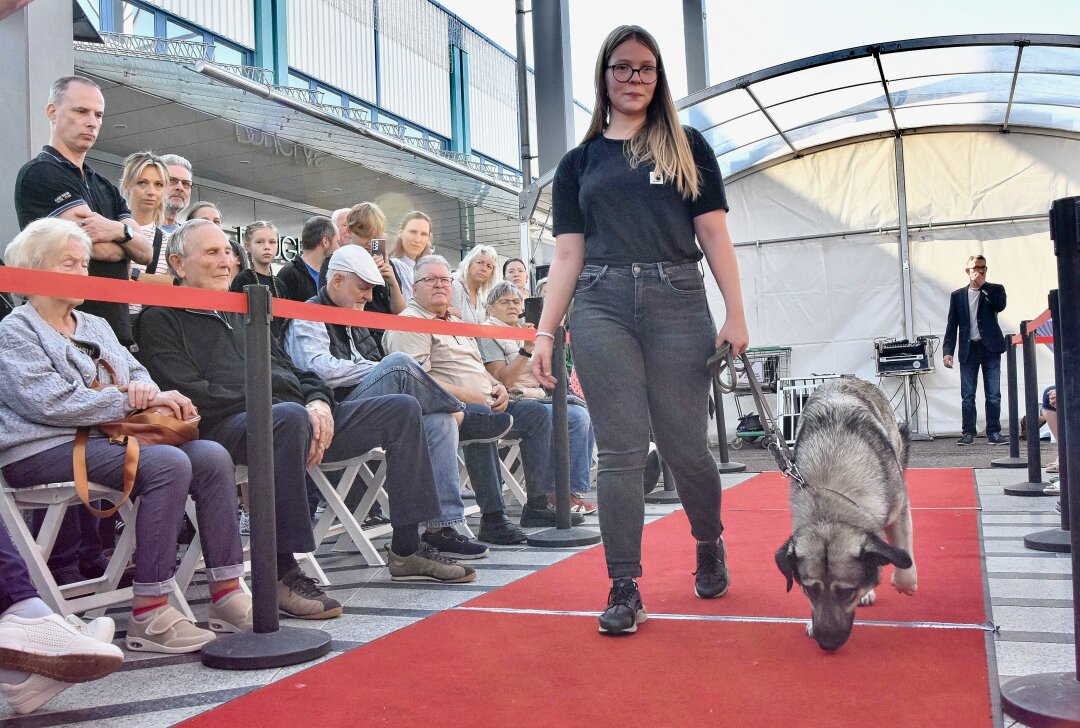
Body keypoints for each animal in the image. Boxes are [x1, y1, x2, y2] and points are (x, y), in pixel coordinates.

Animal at [773, 378, 915, 648]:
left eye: (847, 592)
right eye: (810, 590)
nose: (827, 643)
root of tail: (845, 378)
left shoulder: (899, 508)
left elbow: (904, 554)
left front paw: (904, 582)